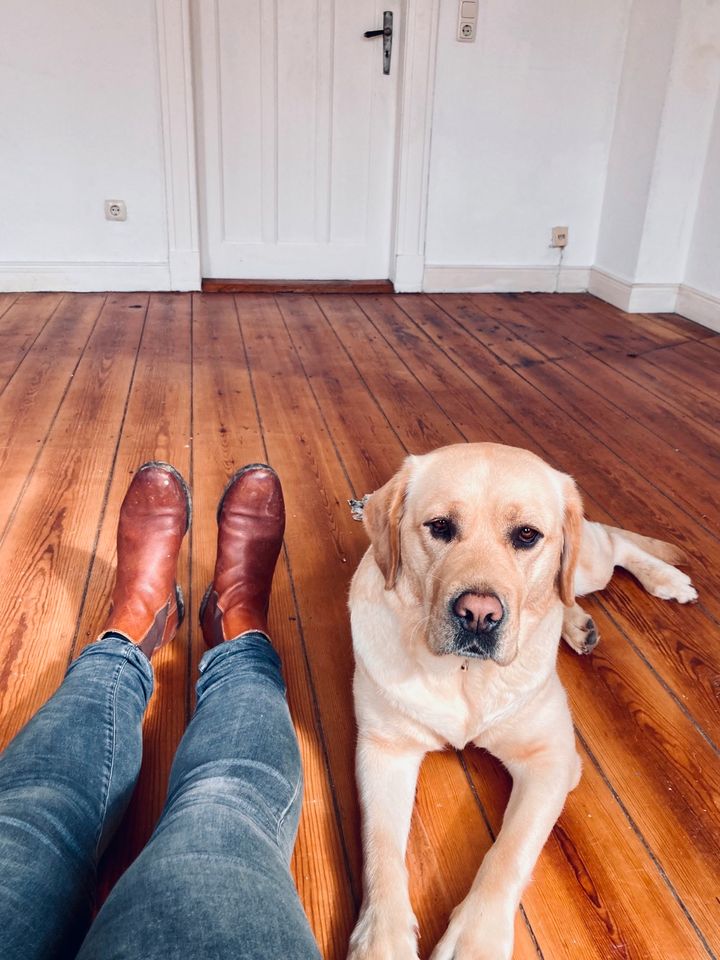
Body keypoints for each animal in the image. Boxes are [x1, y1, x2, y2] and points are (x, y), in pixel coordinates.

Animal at [346, 442, 696, 960]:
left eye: (526, 535)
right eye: (440, 527)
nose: (478, 615)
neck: (465, 674)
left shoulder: (551, 759)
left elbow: (508, 852)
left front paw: (474, 941)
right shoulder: (383, 749)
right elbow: (380, 849)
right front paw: (380, 941)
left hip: (588, 564)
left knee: (612, 547)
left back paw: (667, 579)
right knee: (570, 588)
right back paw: (578, 624)